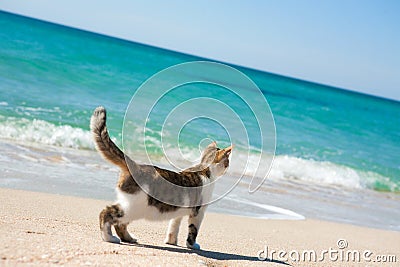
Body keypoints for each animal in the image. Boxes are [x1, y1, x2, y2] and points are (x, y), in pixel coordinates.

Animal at [89, 107, 233, 251]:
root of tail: (136, 166)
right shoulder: (198, 212)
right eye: (227, 162)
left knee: (120, 224)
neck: (204, 169)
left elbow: (173, 227)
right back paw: (109, 237)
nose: (228, 167)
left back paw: (129, 238)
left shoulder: (179, 212)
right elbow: (193, 230)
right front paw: (192, 245)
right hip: (132, 207)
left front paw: (171, 241)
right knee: (106, 213)